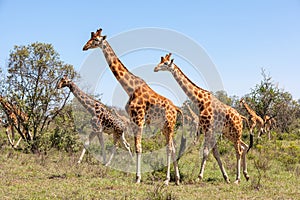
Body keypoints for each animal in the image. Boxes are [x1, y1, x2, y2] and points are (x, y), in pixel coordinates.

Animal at [82, 28, 180, 186]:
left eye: (96, 40)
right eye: (90, 38)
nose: (84, 47)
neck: (130, 88)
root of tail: (176, 109)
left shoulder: (139, 119)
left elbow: (138, 147)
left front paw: (138, 177)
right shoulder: (133, 120)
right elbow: (135, 147)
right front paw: (136, 175)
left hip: (170, 125)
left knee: (170, 148)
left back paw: (167, 179)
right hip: (164, 127)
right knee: (173, 147)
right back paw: (176, 179)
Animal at [154, 53, 252, 184]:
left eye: (165, 63)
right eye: (160, 61)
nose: (155, 68)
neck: (200, 101)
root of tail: (240, 117)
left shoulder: (208, 129)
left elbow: (205, 152)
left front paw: (199, 177)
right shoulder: (209, 130)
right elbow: (215, 153)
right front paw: (226, 177)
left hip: (236, 132)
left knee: (239, 151)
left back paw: (238, 179)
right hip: (229, 133)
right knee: (244, 146)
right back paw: (246, 175)